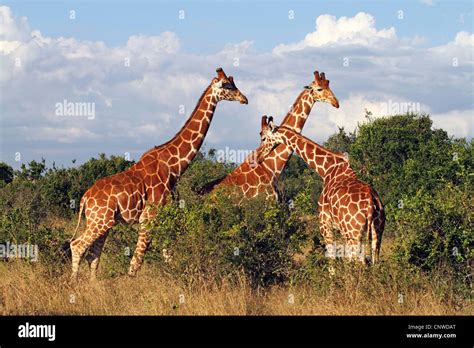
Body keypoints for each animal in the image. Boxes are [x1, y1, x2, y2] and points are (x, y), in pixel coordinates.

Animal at [70, 67, 248, 280]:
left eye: (233, 82)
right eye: (227, 85)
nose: (244, 99)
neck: (174, 167)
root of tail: (84, 199)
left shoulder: (164, 216)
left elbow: (168, 255)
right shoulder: (149, 217)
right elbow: (136, 261)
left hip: (103, 222)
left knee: (93, 255)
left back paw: (93, 285)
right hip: (100, 220)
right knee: (77, 246)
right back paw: (73, 284)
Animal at [256, 116, 386, 264]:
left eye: (263, 138)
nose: (258, 157)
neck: (326, 170)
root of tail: (371, 204)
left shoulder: (325, 225)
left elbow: (331, 259)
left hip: (353, 233)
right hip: (377, 232)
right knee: (374, 261)